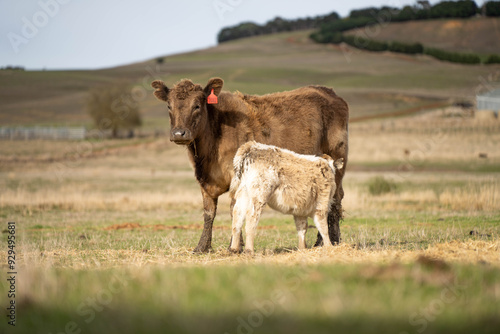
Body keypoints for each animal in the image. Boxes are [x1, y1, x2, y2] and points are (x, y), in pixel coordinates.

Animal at [150, 77, 350, 252]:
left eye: (197, 105)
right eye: (169, 106)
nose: (179, 133)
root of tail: (327, 91)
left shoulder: (236, 179)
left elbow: (234, 210)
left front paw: (234, 246)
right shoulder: (205, 182)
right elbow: (209, 213)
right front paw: (202, 247)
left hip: (337, 163)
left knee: (335, 201)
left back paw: (330, 241)